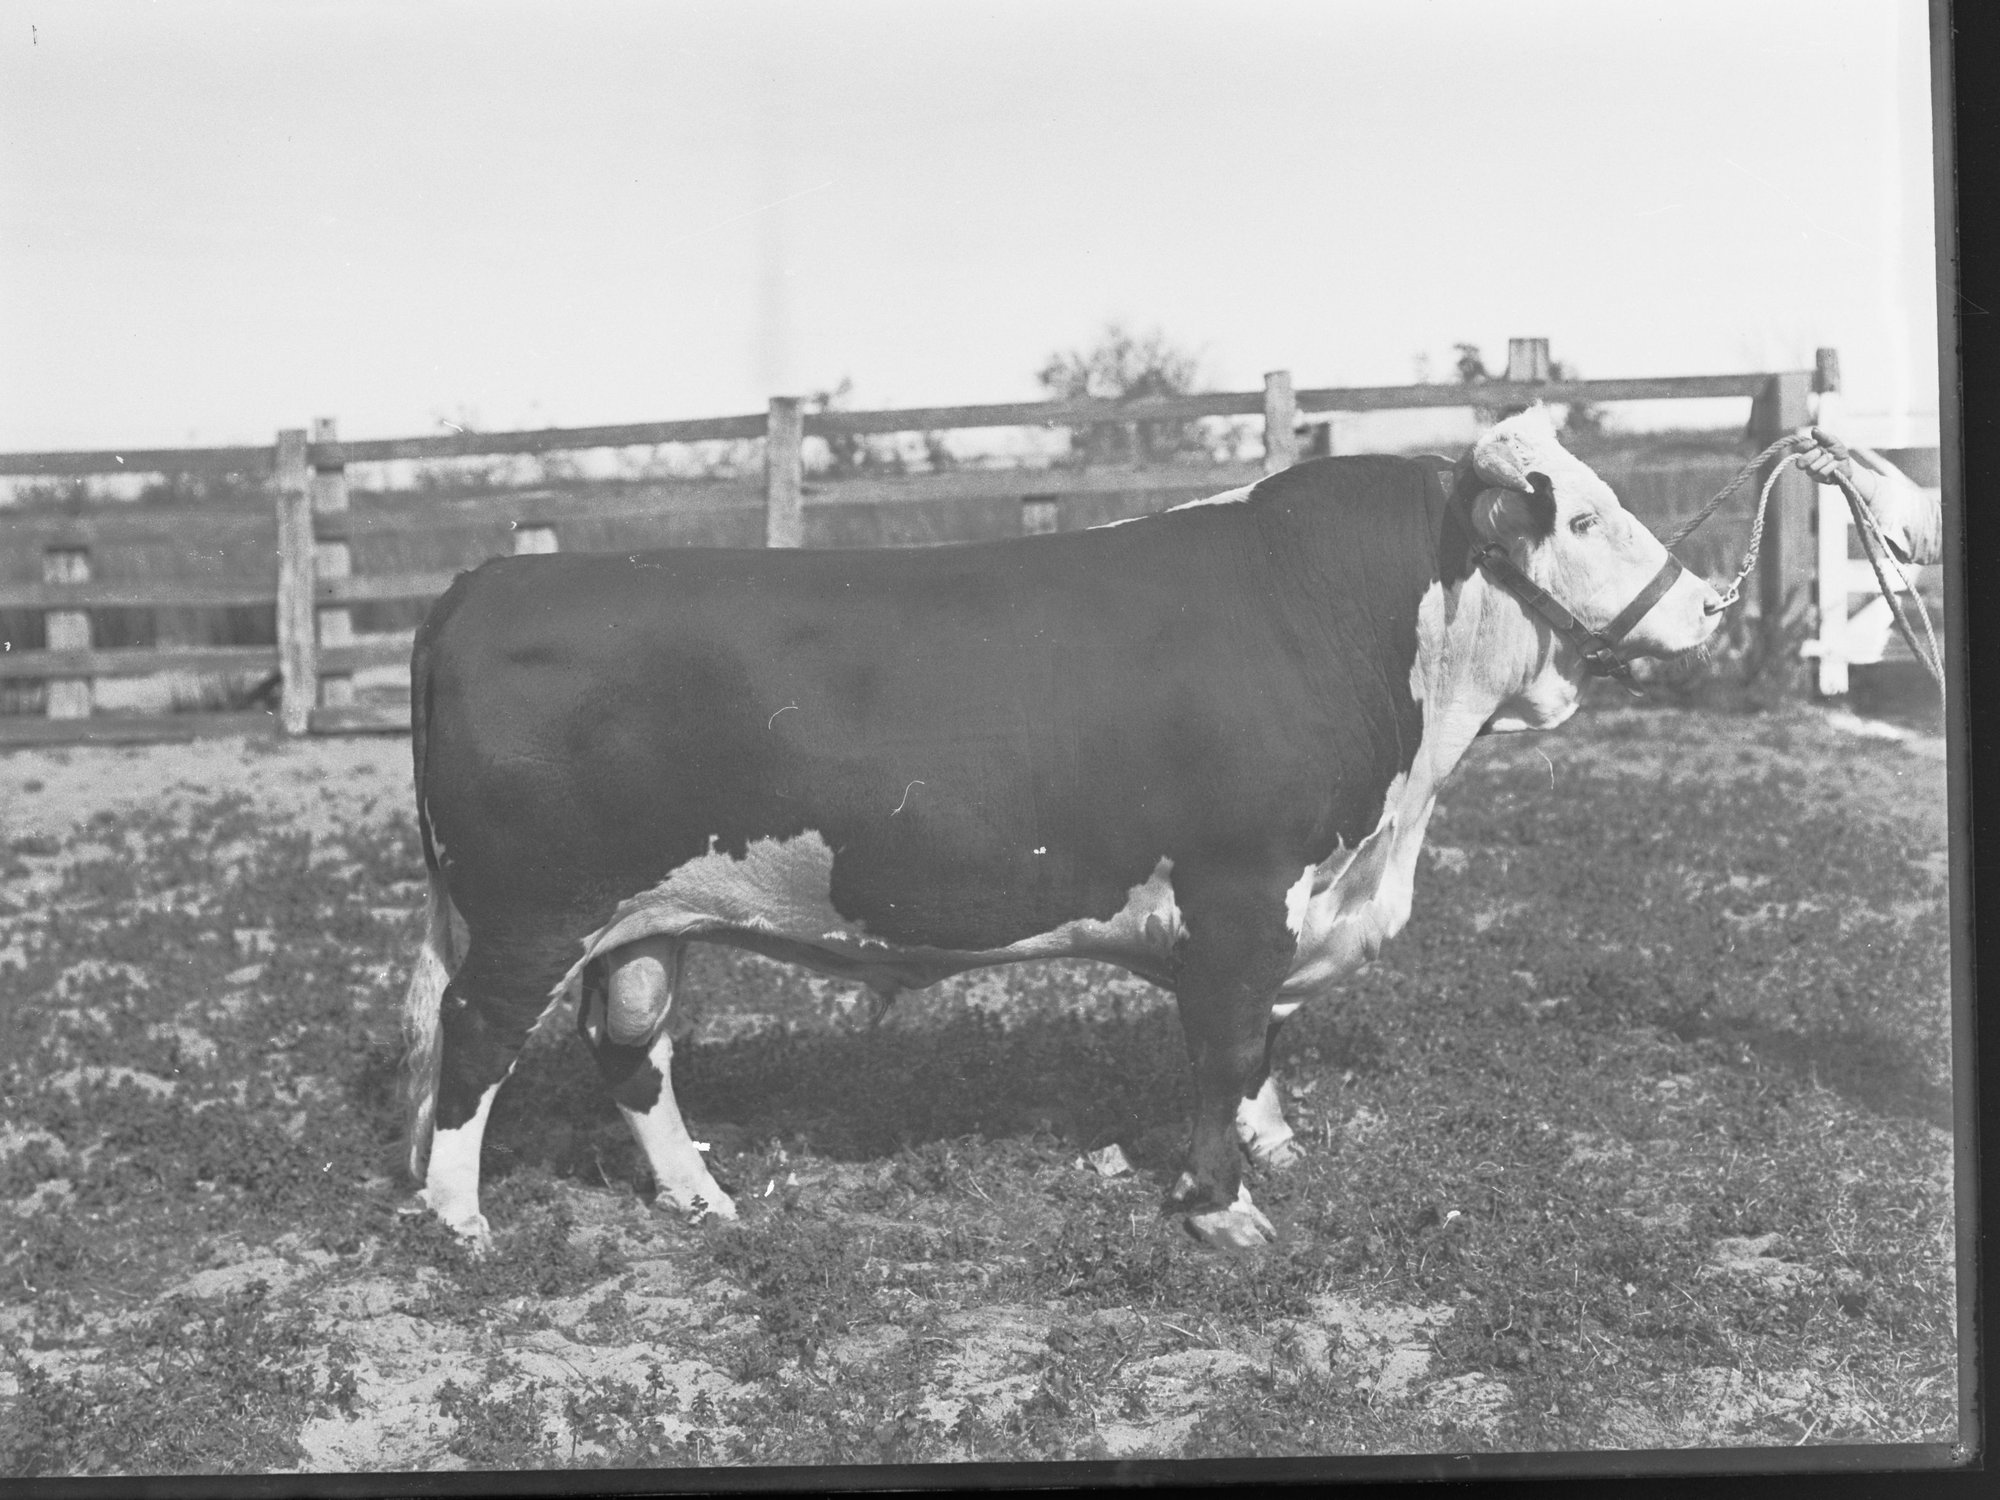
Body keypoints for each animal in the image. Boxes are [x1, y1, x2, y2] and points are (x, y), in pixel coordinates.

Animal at [400, 404, 1722, 1251]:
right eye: (1583, 520)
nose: (1712, 603)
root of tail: (483, 582)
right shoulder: (1239, 893)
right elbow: (1226, 1047)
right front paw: (1222, 1207)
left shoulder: (1284, 901)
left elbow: (1258, 1050)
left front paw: (1273, 1149)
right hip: (529, 913)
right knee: (474, 1041)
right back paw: (461, 1220)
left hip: (640, 918)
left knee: (630, 1044)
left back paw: (697, 1199)